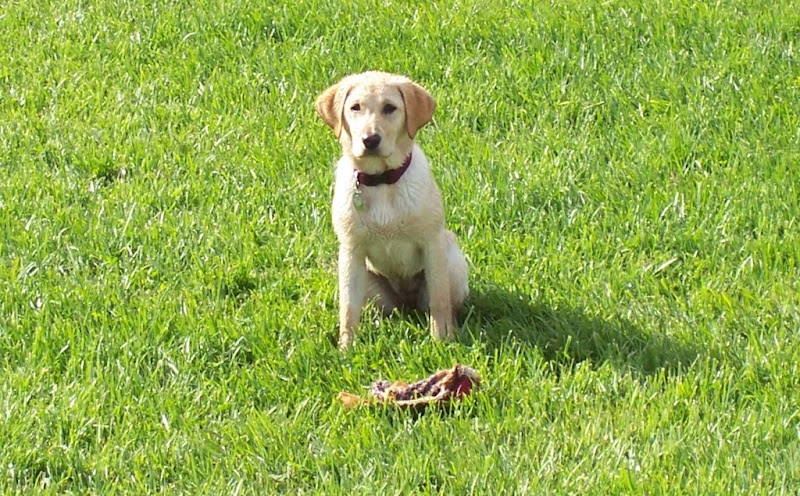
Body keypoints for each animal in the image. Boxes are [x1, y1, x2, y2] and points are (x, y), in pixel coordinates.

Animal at [316, 71, 468, 348]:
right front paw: (346, 348)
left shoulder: (431, 244)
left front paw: (442, 339)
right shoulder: (351, 251)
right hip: (366, 281)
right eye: (355, 107)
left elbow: (439, 301)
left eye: (390, 108)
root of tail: (406, 302)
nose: (370, 140)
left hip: (451, 261)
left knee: (445, 303)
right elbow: (347, 309)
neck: (382, 181)